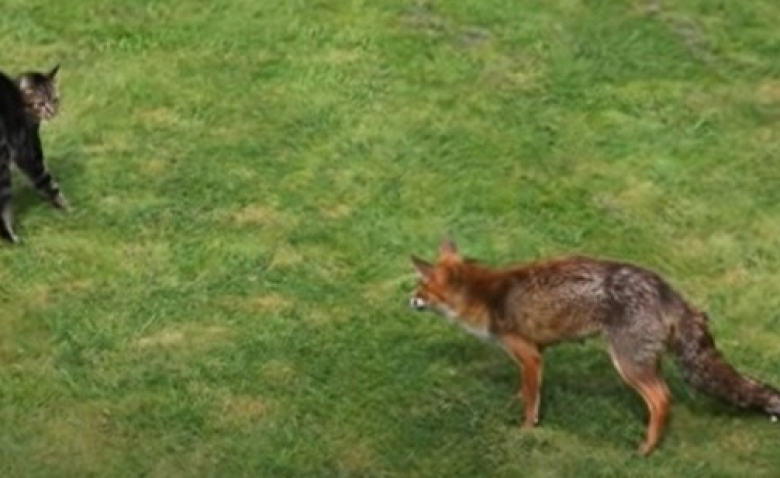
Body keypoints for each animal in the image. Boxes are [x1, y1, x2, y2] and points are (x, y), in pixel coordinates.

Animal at [408, 237, 780, 455]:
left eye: (422, 288)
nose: (408, 299)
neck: (486, 296)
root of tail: (666, 289)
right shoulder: (536, 353)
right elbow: (526, 389)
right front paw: (515, 399)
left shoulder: (528, 353)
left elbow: (531, 404)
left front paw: (526, 432)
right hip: (646, 361)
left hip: (627, 364)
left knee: (662, 400)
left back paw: (645, 450)